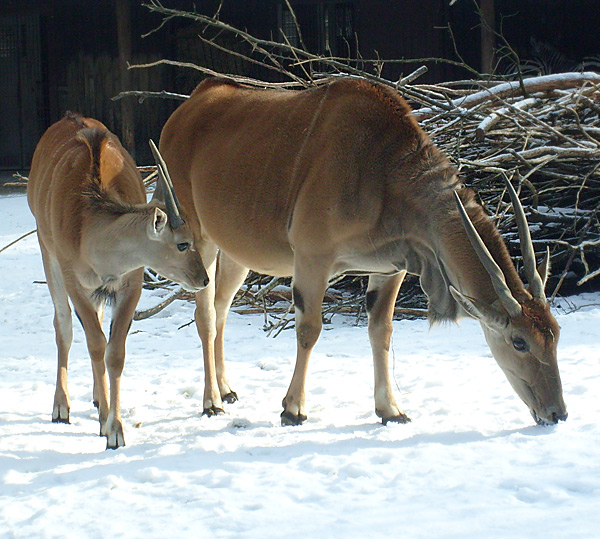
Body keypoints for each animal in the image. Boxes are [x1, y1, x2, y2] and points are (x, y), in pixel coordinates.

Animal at [28, 112, 209, 450]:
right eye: (182, 243)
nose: (203, 279)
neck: (89, 220)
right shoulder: (74, 282)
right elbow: (95, 343)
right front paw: (107, 427)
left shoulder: (129, 285)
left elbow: (115, 352)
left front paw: (115, 426)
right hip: (48, 256)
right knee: (65, 326)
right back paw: (61, 406)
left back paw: (100, 399)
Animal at [159, 76, 568, 428]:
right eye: (519, 341)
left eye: (556, 334)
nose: (557, 413)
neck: (383, 169)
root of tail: (192, 103)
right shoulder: (312, 257)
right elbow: (309, 329)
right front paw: (293, 409)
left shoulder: (391, 268)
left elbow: (381, 331)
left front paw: (390, 409)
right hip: (197, 239)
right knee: (205, 316)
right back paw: (211, 401)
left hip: (234, 254)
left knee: (221, 309)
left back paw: (226, 389)